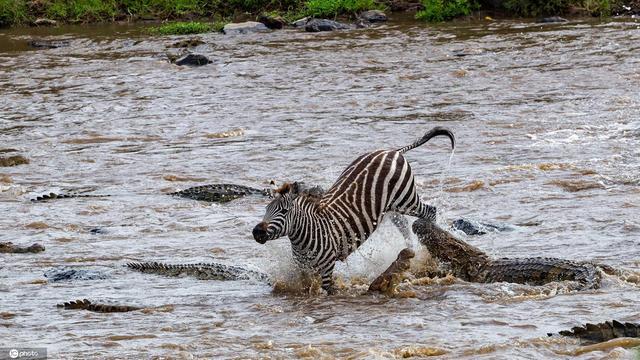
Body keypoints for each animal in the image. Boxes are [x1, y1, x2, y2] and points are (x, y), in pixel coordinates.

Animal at [251, 126, 456, 292]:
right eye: (266, 209)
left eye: (284, 212)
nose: (256, 232)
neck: (305, 236)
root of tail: (391, 151)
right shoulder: (303, 270)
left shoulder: (327, 269)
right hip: (389, 206)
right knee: (404, 224)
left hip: (406, 198)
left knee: (430, 211)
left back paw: (431, 249)